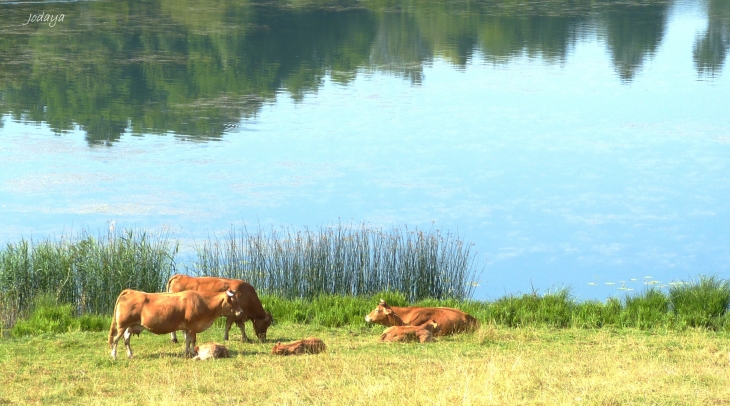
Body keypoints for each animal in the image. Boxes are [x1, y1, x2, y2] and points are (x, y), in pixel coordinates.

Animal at [107, 288, 242, 358]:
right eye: (233, 301)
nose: (241, 311)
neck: (204, 303)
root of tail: (131, 291)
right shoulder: (193, 327)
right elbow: (192, 340)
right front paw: (193, 352)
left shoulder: (188, 328)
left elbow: (187, 340)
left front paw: (187, 353)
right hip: (122, 326)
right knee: (115, 340)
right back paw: (114, 356)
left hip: (130, 326)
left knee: (126, 340)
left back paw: (130, 355)